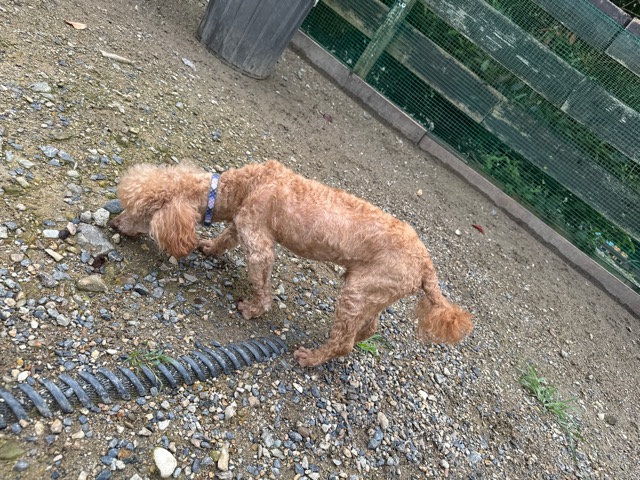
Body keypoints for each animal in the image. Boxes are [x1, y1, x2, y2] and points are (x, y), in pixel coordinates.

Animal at [110, 160, 473, 367]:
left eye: (140, 212)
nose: (114, 223)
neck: (240, 187)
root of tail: (427, 265)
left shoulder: (258, 243)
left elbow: (261, 281)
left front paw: (253, 309)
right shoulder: (242, 223)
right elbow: (226, 237)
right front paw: (210, 248)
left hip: (357, 291)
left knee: (342, 341)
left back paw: (311, 358)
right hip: (370, 288)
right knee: (368, 328)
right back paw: (358, 339)